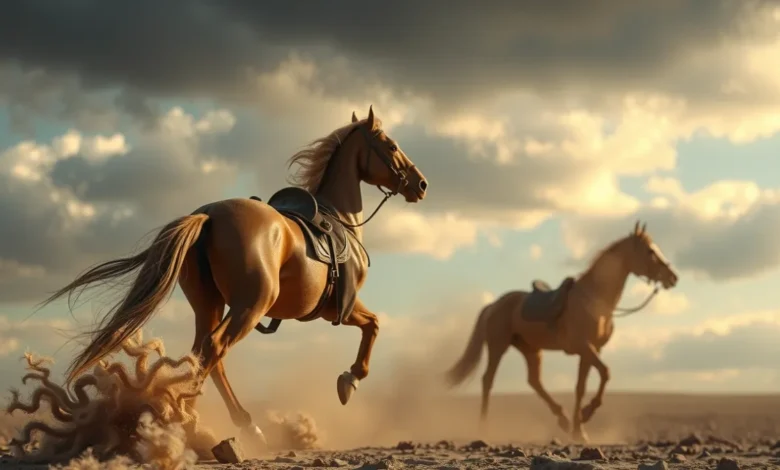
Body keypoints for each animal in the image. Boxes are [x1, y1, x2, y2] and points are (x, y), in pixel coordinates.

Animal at [40, 106, 428, 451]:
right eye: (391, 145)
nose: (421, 184)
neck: (340, 218)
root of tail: (210, 215)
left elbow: (372, 325)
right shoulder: (337, 310)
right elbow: (373, 325)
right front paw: (349, 380)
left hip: (209, 304)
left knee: (201, 355)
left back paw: (198, 421)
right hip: (249, 306)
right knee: (214, 348)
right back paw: (206, 422)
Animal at [445, 221, 679, 442]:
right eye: (650, 251)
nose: (672, 277)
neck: (595, 301)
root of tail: (493, 305)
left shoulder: (591, 351)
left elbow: (580, 387)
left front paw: (579, 431)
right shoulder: (585, 347)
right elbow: (605, 373)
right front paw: (586, 413)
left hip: (531, 350)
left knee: (534, 381)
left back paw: (563, 419)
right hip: (498, 346)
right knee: (488, 381)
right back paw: (483, 428)